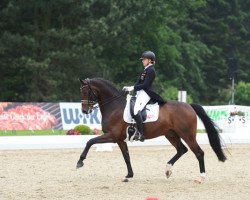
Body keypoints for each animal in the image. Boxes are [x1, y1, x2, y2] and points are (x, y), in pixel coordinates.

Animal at [76, 77, 227, 182]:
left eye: (86, 91)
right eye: (81, 91)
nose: (84, 111)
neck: (114, 106)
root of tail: (189, 106)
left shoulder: (112, 136)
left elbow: (90, 141)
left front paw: (80, 162)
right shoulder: (120, 139)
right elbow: (126, 157)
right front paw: (129, 175)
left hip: (187, 134)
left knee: (199, 153)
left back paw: (201, 177)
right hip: (171, 134)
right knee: (181, 150)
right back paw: (167, 170)